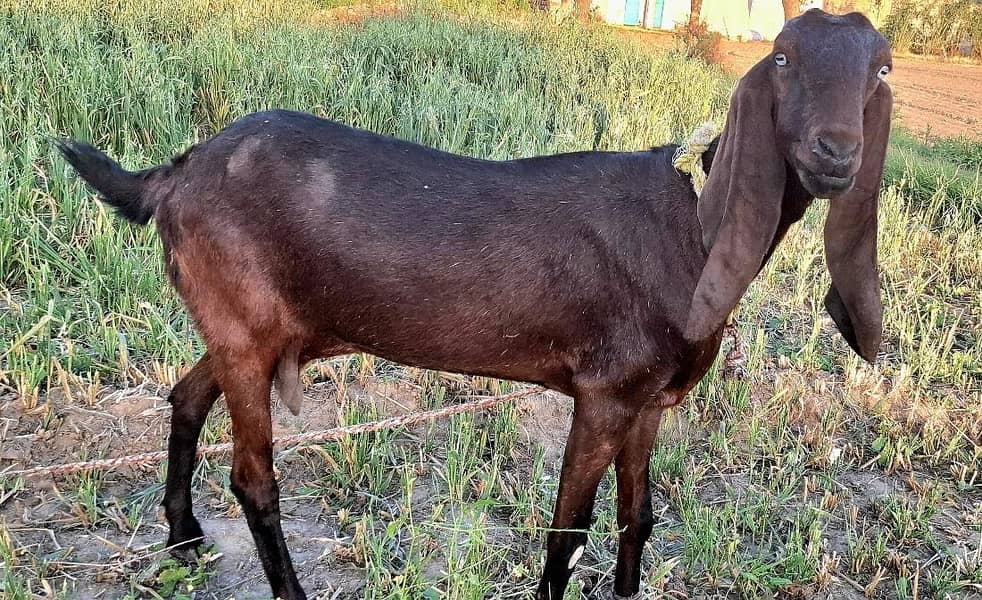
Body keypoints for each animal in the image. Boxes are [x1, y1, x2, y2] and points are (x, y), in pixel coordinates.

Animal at [56, 9, 892, 600]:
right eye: (782, 57)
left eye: (880, 67)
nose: (834, 154)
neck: (689, 225)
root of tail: (178, 172)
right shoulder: (604, 392)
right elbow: (568, 531)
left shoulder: (651, 400)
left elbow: (639, 517)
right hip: (243, 324)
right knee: (254, 479)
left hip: (251, 330)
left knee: (186, 397)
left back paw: (183, 538)